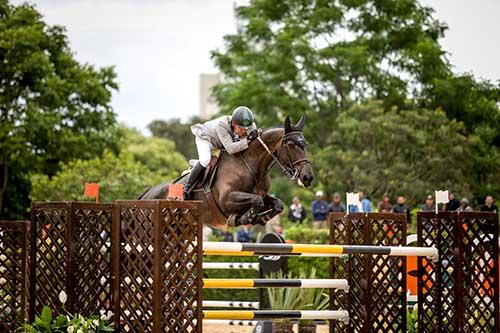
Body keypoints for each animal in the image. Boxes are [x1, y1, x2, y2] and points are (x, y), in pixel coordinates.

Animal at [138, 115, 312, 228]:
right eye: (291, 145)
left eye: (305, 144)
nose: (308, 177)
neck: (250, 165)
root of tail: (145, 194)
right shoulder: (227, 199)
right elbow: (257, 201)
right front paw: (244, 218)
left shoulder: (263, 195)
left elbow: (277, 205)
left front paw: (260, 218)